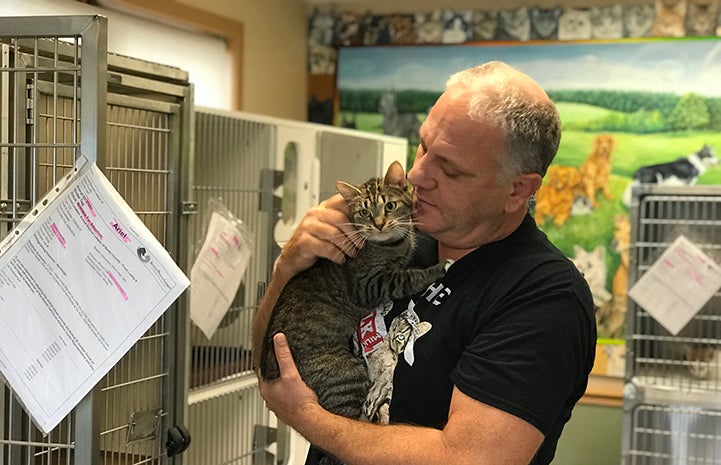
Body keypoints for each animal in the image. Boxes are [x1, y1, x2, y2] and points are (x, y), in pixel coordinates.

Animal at [258, 160, 444, 464]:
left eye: (389, 206)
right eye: (365, 212)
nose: (379, 224)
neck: (392, 245)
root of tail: (269, 367)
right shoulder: (369, 284)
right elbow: (408, 277)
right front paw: (438, 269)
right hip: (346, 376)